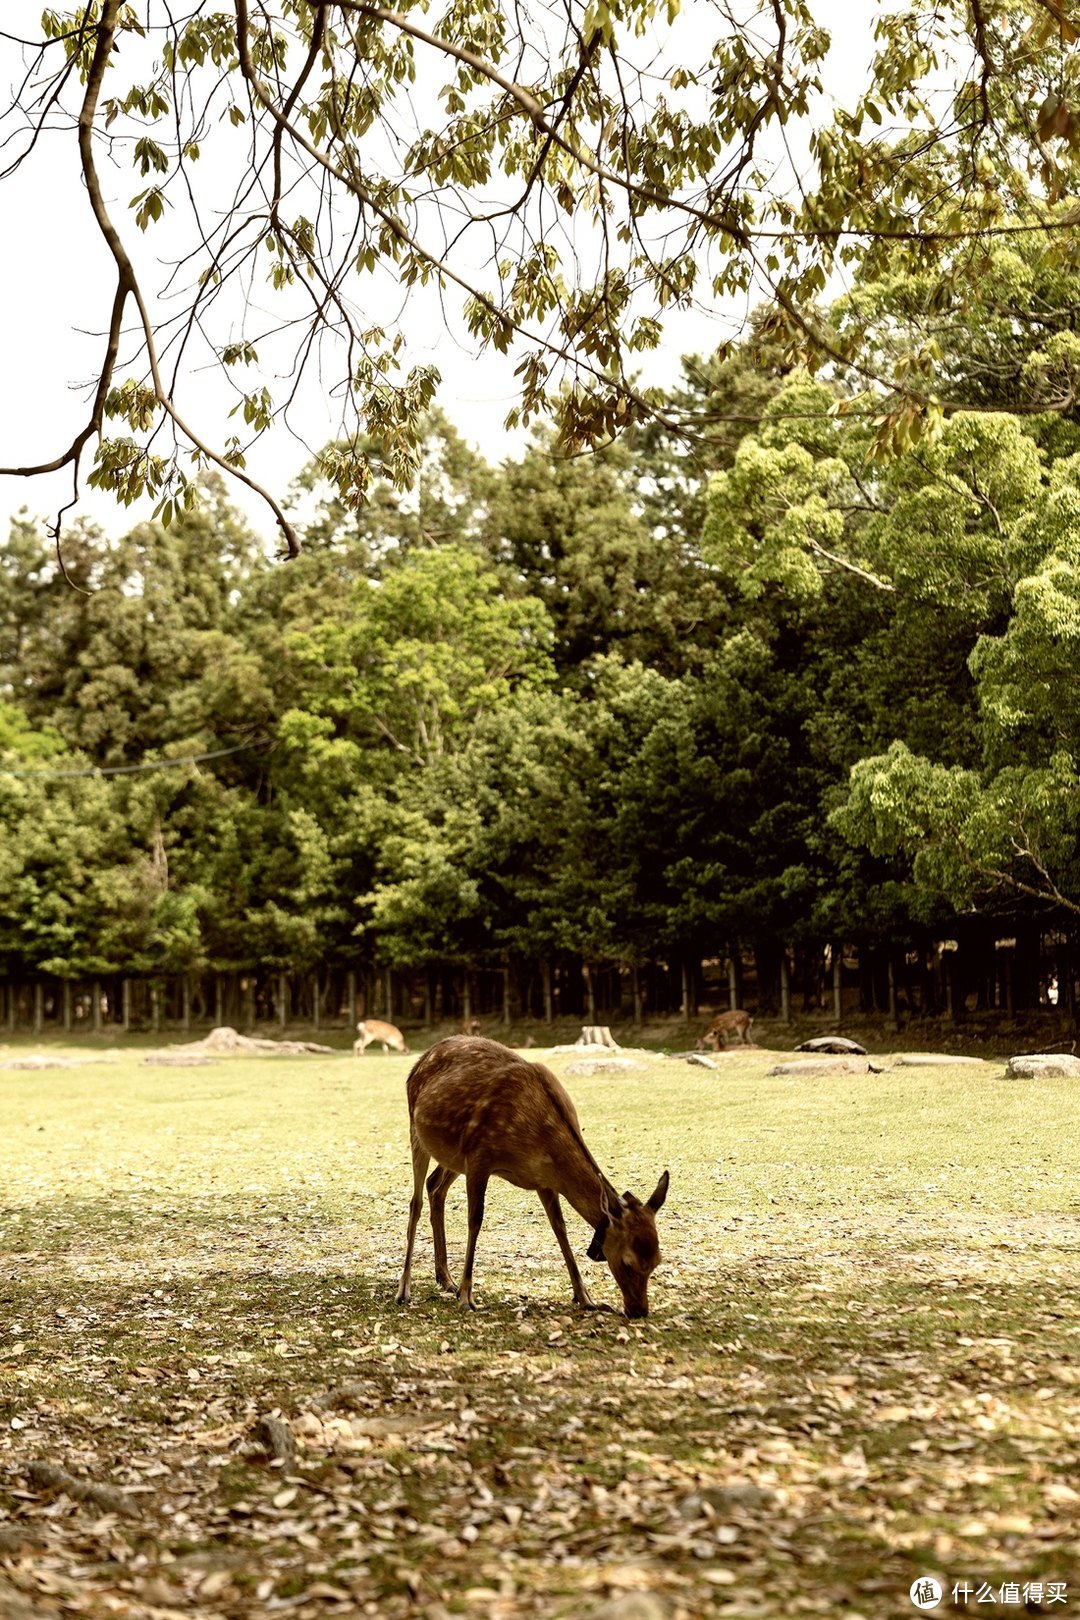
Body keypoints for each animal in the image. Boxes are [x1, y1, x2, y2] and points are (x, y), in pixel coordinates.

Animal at [395, 1036, 667, 1315]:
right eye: (626, 1262)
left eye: (657, 1260)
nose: (639, 1311)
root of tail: (420, 1061)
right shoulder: (480, 1157)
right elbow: (475, 1220)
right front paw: (467, 1297)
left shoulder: (544, 1180)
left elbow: (559, 1228)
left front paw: (585, 1296)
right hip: (417, 1131)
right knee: (415, 1202)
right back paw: (405, 1290)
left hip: (453, 1156)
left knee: (435, 1185)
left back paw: (445, 1279)